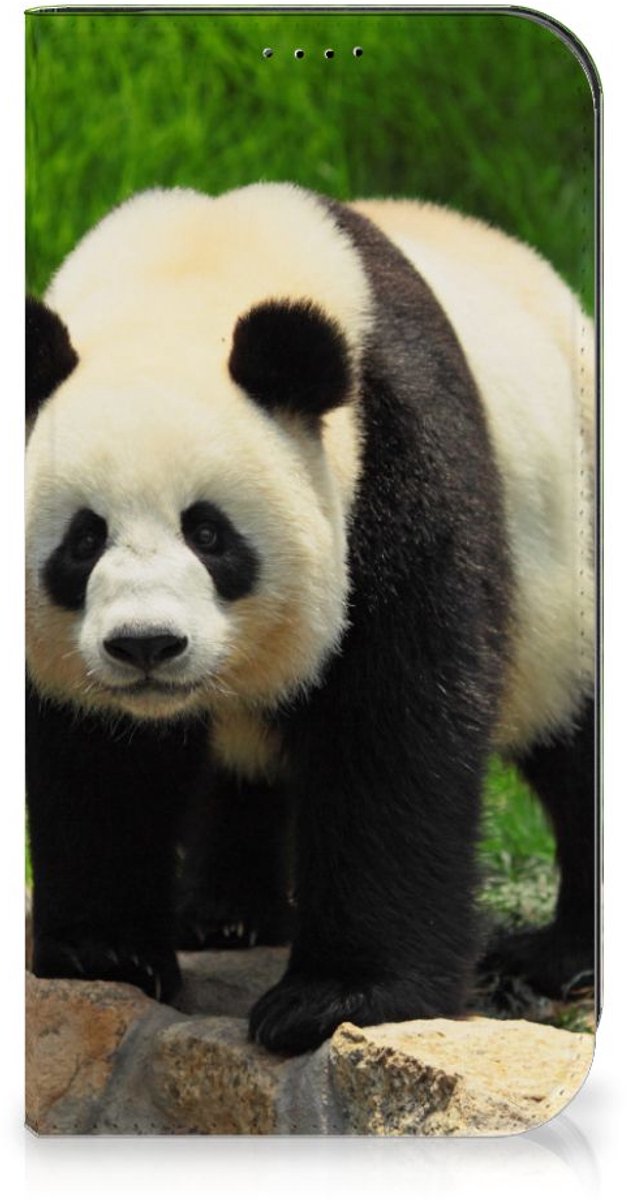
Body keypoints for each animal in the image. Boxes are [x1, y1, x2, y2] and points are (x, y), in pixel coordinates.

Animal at [25, 182, 595, 1053]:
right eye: (83, 540)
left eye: (209, 533)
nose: (147, 645)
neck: (189, 276)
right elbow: (94, 755)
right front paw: (105, 952)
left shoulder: (396, 461)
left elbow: (392, 727)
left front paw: (337, 998)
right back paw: (225, 914)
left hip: (574, 566)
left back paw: (557, 958)